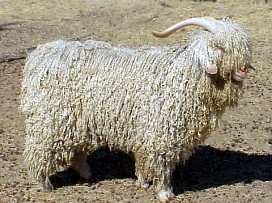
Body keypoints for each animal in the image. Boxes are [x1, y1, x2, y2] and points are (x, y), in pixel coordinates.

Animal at [20, 16, 253, 202]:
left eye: (243, 47)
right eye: (221, 47)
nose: (243, 69)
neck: (185, 75)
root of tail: (39, 55)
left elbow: (144, 160)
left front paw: (142, 181)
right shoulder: (161, 133)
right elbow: (162, 164)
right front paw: (164, 193)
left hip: (76, 122)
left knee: (77, 152)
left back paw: (86, 174)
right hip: (50, 121)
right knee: (38, 151)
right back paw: (44, 185)